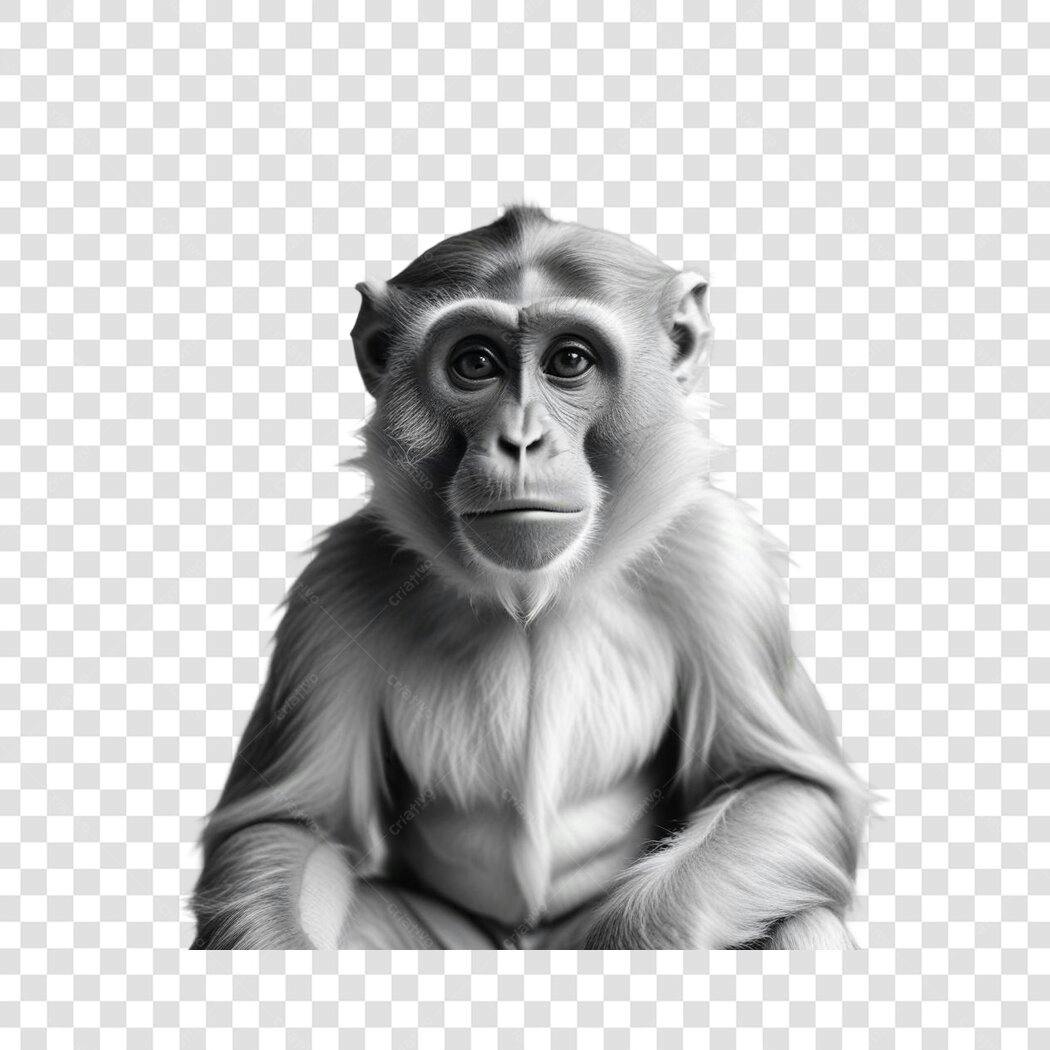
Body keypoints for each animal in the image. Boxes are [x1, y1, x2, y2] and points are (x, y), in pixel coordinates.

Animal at [191, 205, 870, 949]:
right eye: (475, 364)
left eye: (569, 360)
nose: (519, 441)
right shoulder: (337, 582)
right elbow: (287, 826)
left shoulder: (719, 561)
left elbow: (783, 784)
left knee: (800, 921)